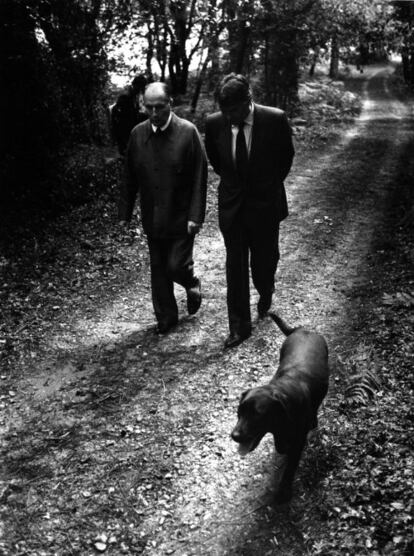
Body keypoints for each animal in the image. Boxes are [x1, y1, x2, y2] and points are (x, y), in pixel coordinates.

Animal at [230, 310, 330, 502]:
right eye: (239, 412)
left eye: (257, 413)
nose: (234, 436)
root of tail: (301, 329)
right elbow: (280, 444)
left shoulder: (299, 439)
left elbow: (290, 466)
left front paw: (283, 492)